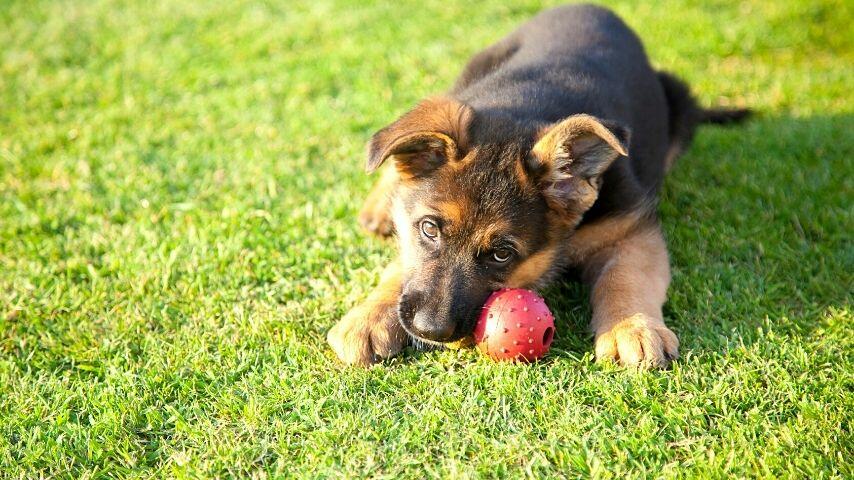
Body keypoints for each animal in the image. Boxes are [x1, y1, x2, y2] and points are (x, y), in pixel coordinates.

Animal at [328, 3, 748, 368]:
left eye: (502, 254)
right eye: (429, 229)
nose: (430, 330)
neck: (526, 106)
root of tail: (589, 6)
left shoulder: (629, 229)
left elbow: (628, 276)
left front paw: (632, 327)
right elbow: (402, 265)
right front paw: (369, 315)